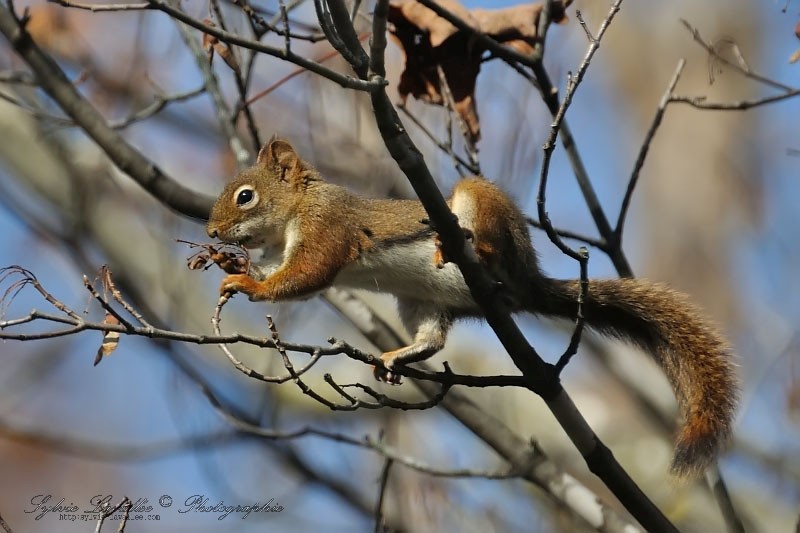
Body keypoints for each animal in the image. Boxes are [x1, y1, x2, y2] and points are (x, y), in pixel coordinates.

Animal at [205, 138, 736, 478]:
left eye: (246, 196)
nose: (211, 232)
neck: (298, 210)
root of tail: (528, 282)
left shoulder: (327, 230)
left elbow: (307, 276)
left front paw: (245, 282)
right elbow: (290, 276)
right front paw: (229, 267)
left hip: (480, 206)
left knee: (488, 247)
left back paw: (468, 247)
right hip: (419, 302)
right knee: (433, 340)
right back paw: (397, 356)